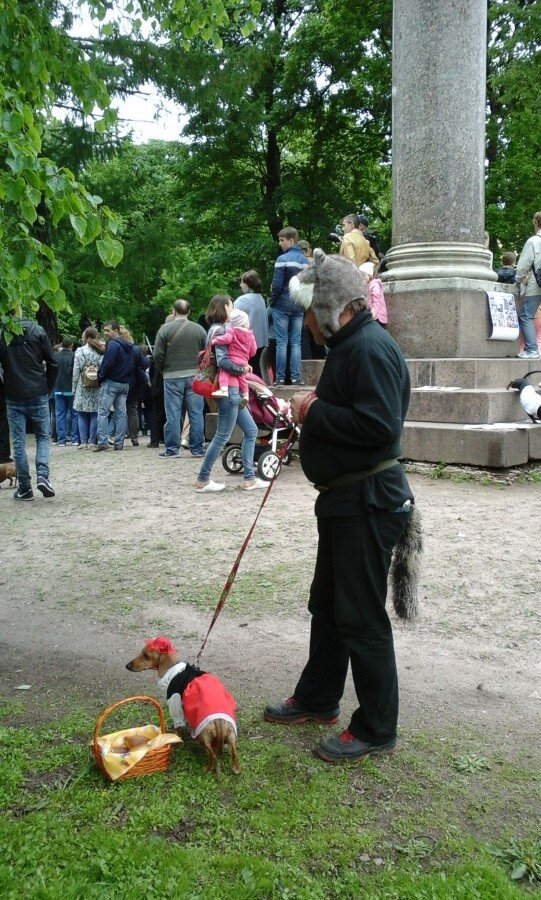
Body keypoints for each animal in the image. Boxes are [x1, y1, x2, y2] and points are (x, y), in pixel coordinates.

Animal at [126, 636, 238, 776]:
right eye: (141, 652)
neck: (175, 671)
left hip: (204, 736)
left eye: (146, 656)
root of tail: (220, 721)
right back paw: (235, 769)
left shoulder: (175, 702)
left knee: (212, 755)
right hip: (231, 736)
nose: (127, 666)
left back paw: (206, 769)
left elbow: (179, 726)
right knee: (234, 752)